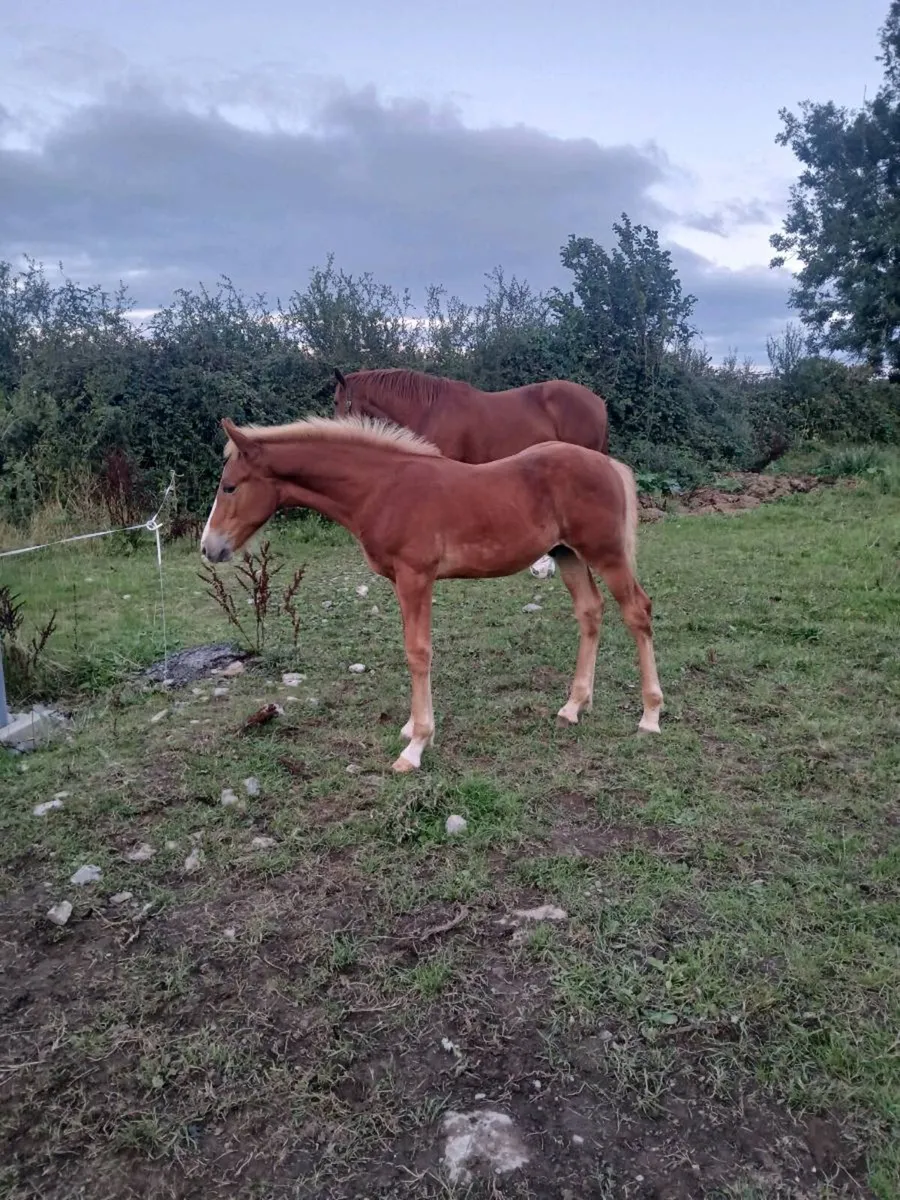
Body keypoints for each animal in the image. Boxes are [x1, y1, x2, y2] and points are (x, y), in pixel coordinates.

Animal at [201, 414, 662, 774]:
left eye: (229, 486)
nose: (209, 547)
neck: (382, 488)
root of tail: (610, 464)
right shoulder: (400, 581)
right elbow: (412, 648)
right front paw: (411, 727)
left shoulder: (415, 577)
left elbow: (418, 652)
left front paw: (416, 745)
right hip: (567, 554)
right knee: (590, 611)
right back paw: (573, 707)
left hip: (606, 553)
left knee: (637, 612)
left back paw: (650, 716)